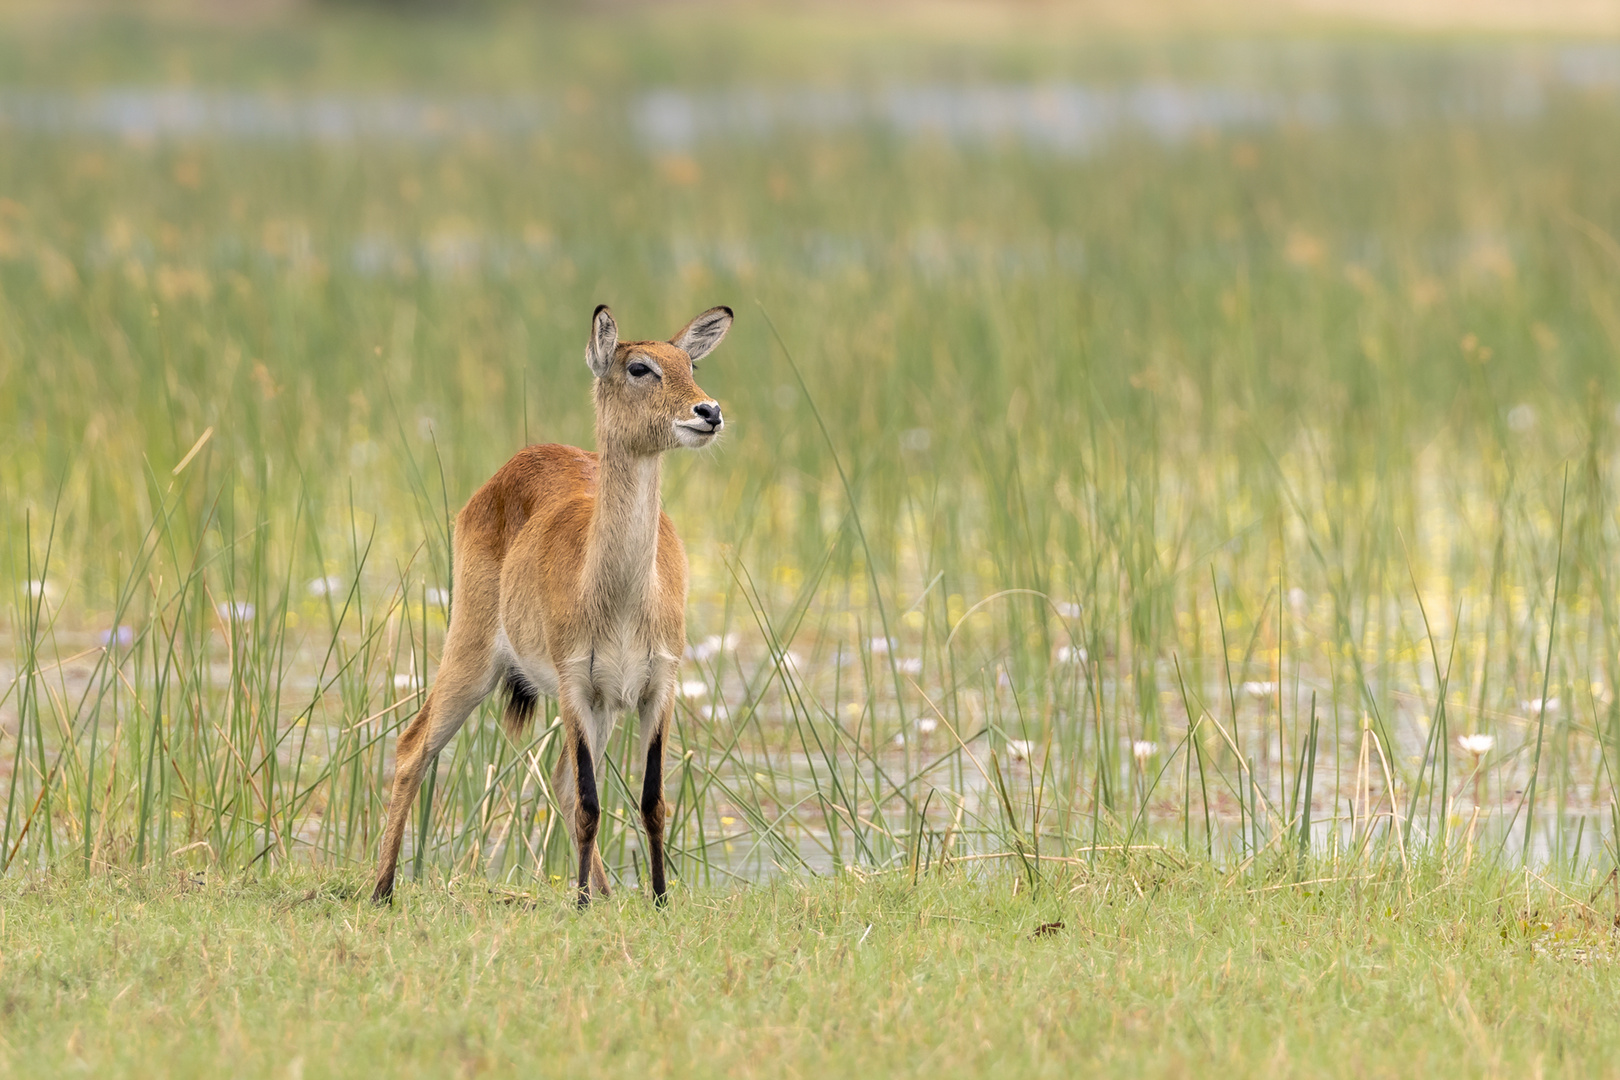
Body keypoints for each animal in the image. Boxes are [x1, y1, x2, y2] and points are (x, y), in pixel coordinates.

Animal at [370, 306, 732, 913]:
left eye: (691, 364)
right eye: (639, 367)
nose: (709, 412)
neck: (621, 601)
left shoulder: (657, 686)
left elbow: (651, 801)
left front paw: (658, 900)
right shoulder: (573, 684)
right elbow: (589, 799)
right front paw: (580, 904)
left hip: (601, 705)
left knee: (559, 778)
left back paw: (605, 892)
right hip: (472, 658)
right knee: (413, 744)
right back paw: (380, 888)